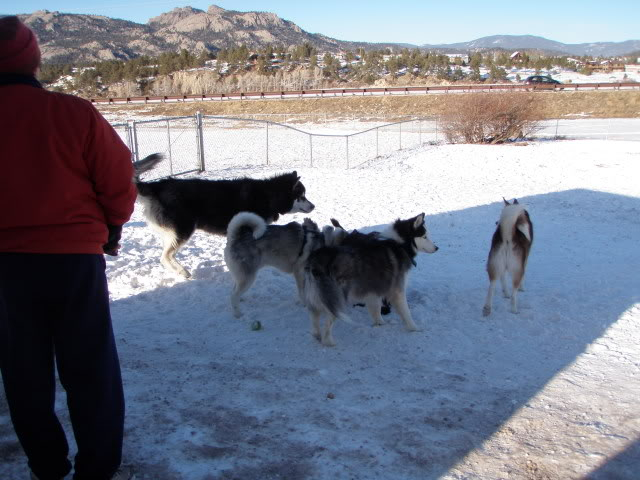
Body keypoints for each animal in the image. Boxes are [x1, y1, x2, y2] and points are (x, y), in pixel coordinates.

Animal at [134, 155, 316, 278]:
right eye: (302, 196)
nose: (313, 206)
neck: (268, 195)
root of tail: (158, 186)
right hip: (184, 228)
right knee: (164, 256)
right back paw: (183, 271)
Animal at [302, 214, 438, 344]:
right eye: (425, 236)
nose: (437, 248)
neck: (399, 244)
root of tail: (318, 258)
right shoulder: (397, 291)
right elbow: (406, 312)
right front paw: (415, 328)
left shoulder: (373, 291)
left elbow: (376, 310)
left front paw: (380, 324)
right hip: (336, 297)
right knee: (328, 323)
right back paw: (329, 342)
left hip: (316, 295)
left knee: (314, 316)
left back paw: (316, 335)